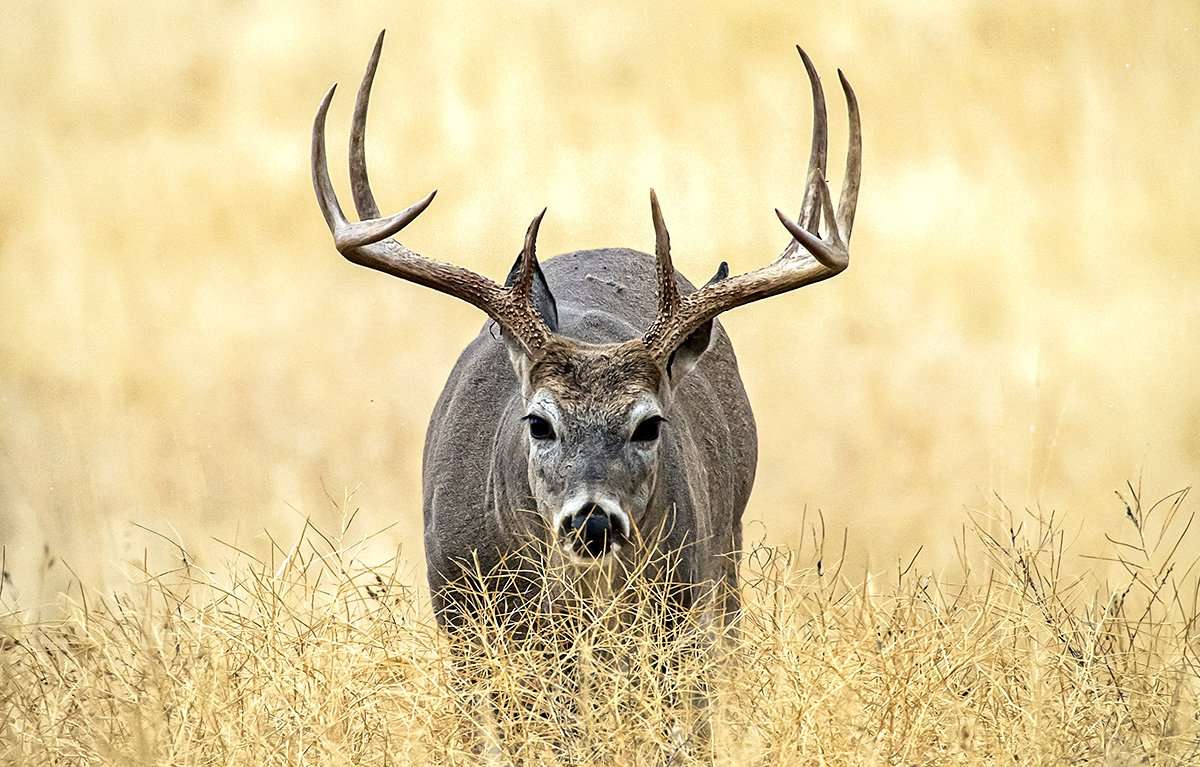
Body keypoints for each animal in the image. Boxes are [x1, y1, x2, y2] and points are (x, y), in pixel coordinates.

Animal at [311, 32, 860, 636]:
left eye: (649, 424)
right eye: (539, 422)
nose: (593, 522)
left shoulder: (684, 603)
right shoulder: (462, 614)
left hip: (727, 558)